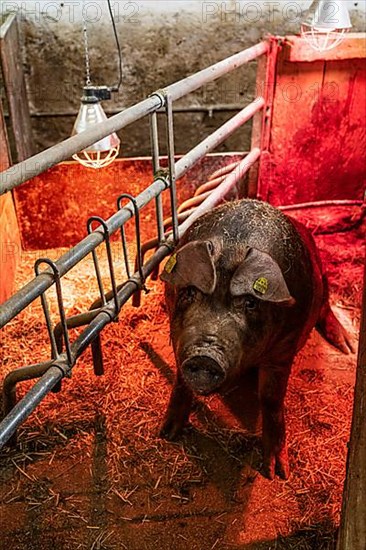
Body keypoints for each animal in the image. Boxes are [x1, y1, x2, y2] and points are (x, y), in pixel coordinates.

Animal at [159, 201, 354, 480]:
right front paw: (167, 434)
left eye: (250, 302)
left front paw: (277, 473)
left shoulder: (285, 346)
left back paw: (347, 346)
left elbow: (271, 398)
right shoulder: (174, 328)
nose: (205, 356)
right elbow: (181, 381)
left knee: (327, 306)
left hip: (323, 275)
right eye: (190, 292)